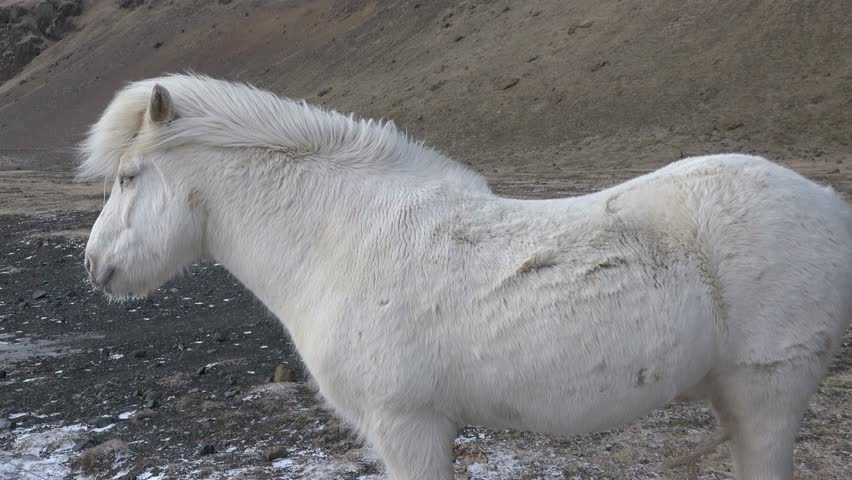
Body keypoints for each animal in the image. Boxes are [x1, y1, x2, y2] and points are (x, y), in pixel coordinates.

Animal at [79, 74, 852, 480]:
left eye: (129, 176)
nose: (93, 266)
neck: (342, 243)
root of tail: (827, 203)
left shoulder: (408, 426)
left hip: (767, 396)